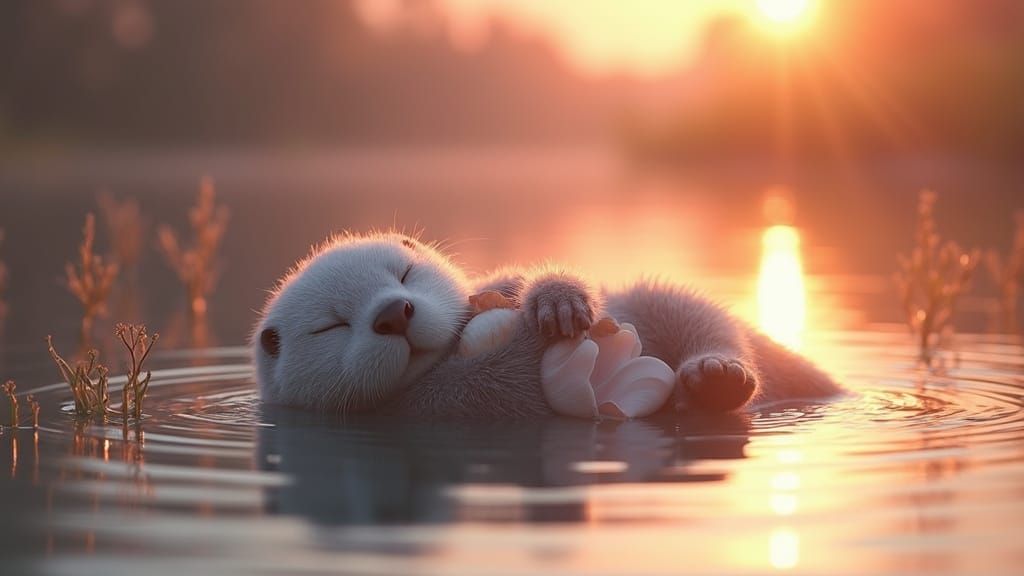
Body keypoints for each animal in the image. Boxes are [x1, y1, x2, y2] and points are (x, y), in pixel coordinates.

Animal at [253, 232, 841, 418]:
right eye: (331, 326)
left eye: (404, 272)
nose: (394, 313)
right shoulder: (420, 409)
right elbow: (493, 387)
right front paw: (537, 342)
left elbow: (511, 278)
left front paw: (555, 299)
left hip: (665, 302)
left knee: (696, 313)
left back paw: (717, 371)